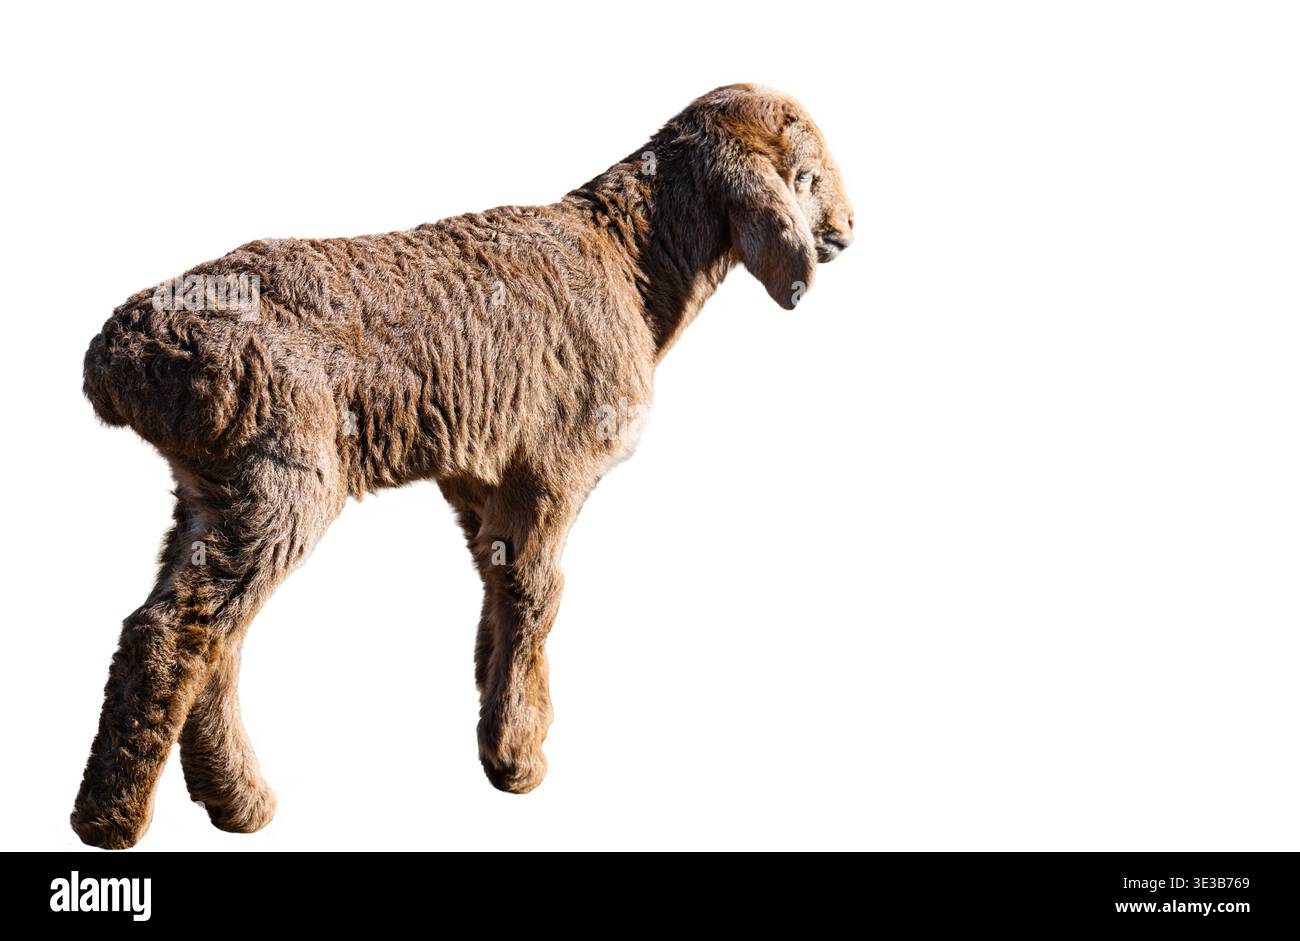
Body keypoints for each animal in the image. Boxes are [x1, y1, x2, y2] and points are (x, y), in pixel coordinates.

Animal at [73, 83, 855, 848]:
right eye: (804, 178)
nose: (847, 229)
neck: (629, 263)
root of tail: (120, 353)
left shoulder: (479, 475)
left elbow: (499, 581)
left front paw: (504, 717)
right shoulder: (553, 462)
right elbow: (538, 592)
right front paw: (518, 758)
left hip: (211, 483)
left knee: (214, 631)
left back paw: (235, 802)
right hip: (281, 468)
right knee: (174, 630)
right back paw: (112, 820)